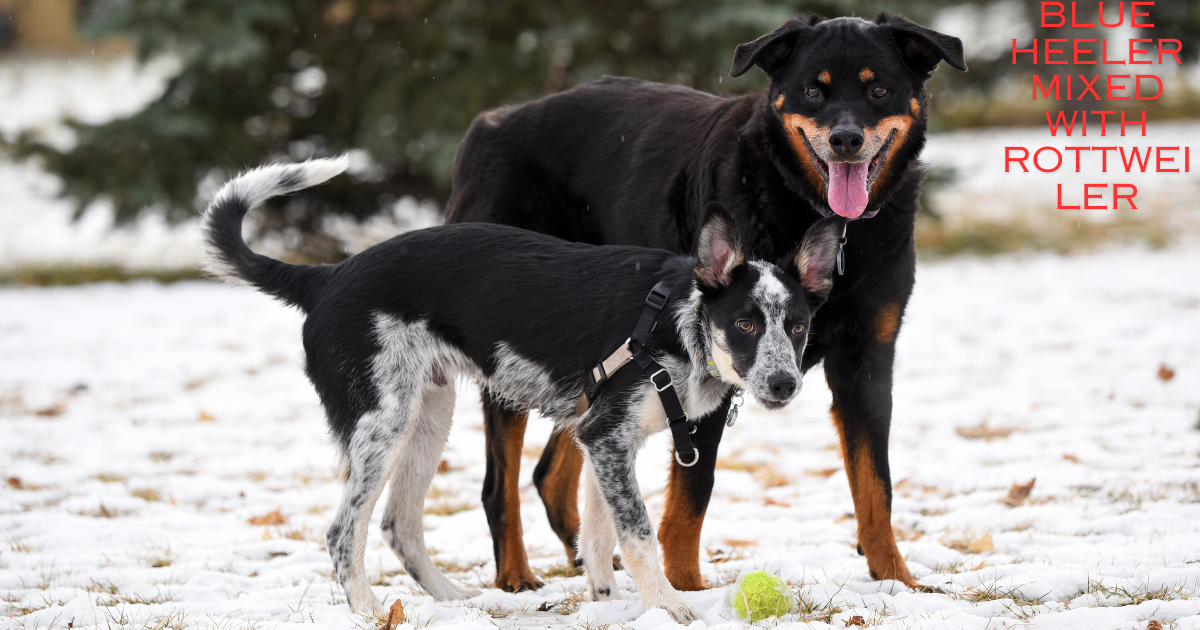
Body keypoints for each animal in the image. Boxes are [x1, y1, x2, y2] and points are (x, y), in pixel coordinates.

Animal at [204, 156, 844, 619]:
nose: (784, 384)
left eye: (797, 326)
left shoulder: (605, 442)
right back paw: (367, 612)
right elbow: (637, 534)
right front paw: (668, 606)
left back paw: (453, 602)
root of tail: (326, 276)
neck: (681, 322)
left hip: (426, 416)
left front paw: (611, 607)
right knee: (344, 532)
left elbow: (598, 536)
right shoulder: (607, 437)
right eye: (745, 325)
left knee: (398, 525)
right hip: (380, 424)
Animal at [448, 11, 964, 590]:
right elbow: (693, 493)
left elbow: (876, 483)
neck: (814, 214)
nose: (846, 139)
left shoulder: (867, 359)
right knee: (500, 485)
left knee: (551, 472)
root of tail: (485, 127)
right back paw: (516, 575)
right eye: (813, 90)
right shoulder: (704, 369)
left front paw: (897, 581)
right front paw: (687, 587)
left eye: (879, 90)